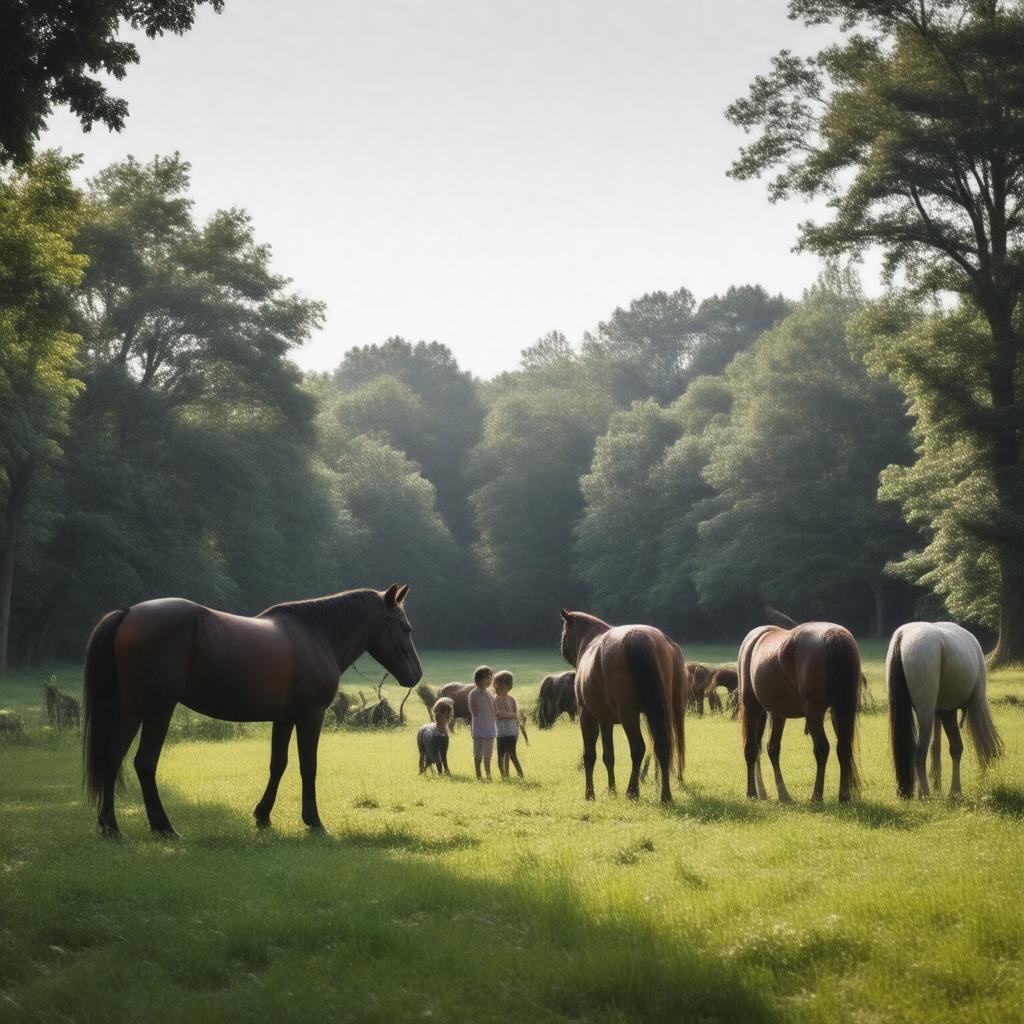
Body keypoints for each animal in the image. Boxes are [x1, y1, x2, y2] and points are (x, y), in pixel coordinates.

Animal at [83, 584, 422, 837]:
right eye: (405, 627)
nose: (416, 675)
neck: (315, 635)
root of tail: (129, 613)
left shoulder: (284, 718)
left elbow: (278, 764)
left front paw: (262, 816)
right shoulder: (310, 715)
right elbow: (308, 766)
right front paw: (313, 822)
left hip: (132, 711)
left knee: (112, 759)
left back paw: (110, 826)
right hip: (157, 711)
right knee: (144, 763)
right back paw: (163, 827)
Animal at [559, 608, 685, 803]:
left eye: (564, 632)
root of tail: (637, 635)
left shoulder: (587, 717)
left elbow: (590, 755)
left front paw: (590, 793)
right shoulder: (606, 721)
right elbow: (608, 756)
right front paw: (612, 790)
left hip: (629, 716)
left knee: (638, 748)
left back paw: (632, 791)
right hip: (660, 712)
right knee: (663, 746)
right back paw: (665, 795)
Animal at [738, 622, 861, 803]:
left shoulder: (752, 708)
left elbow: (751, 749)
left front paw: (751, 793)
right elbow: (767, 748)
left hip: (811, 713)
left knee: (821, 748)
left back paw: (816, 795)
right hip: (831, 711)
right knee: (842, 746)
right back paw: (841, 796)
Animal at [887, 621, 1004, 799]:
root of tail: (903, 636)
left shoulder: (940, 710)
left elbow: (937, 747)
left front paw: (938, 784)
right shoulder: (951, 709)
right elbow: (956, 748)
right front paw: (955, 791)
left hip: (922, 711)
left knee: (918, 749)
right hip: (925, 710)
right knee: (919, 751)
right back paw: (925, 794)